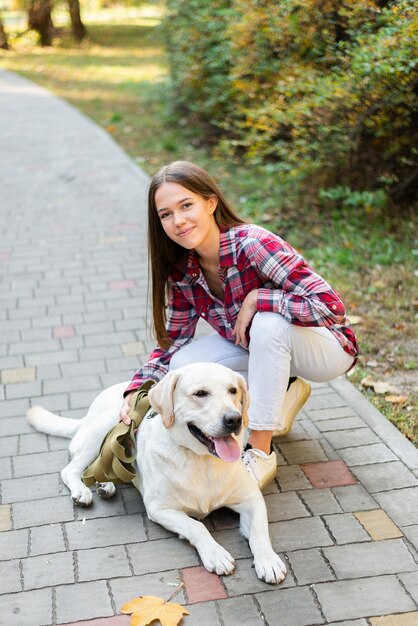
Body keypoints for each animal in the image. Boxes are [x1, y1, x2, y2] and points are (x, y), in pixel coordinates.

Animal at [27, 360, 286, 580]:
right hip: (108, 425)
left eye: (233, 391)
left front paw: (268, 560)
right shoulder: (159, 508)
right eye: (200, 393)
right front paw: (215, 553)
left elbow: (260, 531)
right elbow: (197, 525)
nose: (234, 419)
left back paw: (105, 483)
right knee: (72, 468)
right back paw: (82, 491)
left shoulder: (251, 497)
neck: (201, 460)